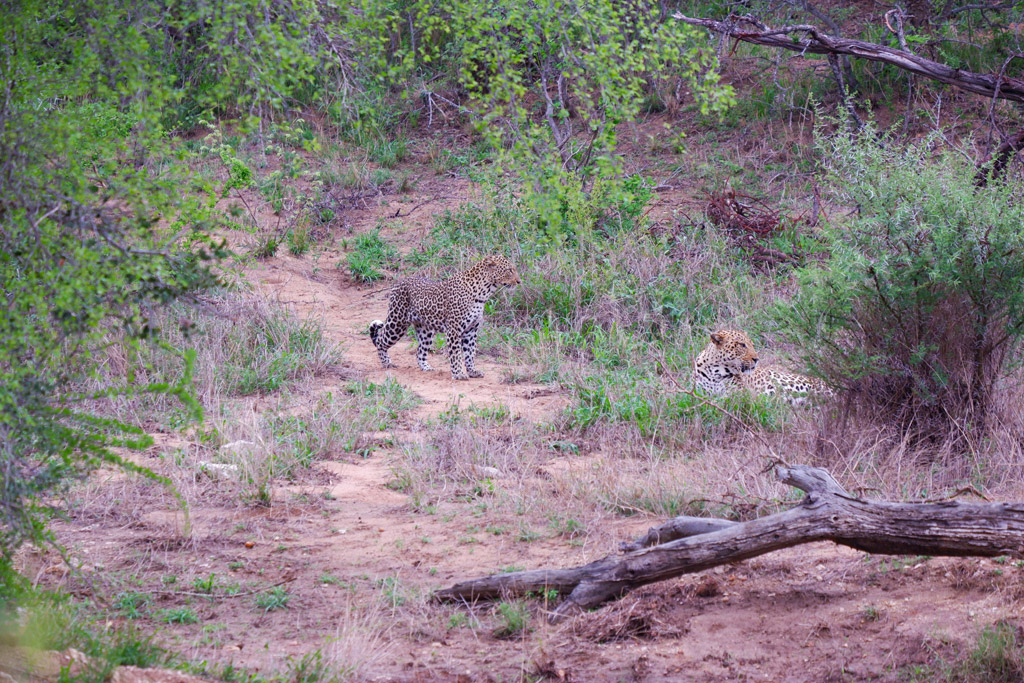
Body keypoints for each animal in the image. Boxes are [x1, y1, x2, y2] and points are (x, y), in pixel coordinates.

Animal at [366, 254, 520, 378]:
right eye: (509, 270)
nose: (519, 281)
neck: (484, 292)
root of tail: (399, 282)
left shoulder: (471, 330)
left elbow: (470, 353)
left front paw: (472, 372)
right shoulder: (454, 329)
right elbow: (456, 353)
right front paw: (458, 374)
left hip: (425, 331)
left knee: (420, 352)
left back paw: (426, 368)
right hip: (397, 323)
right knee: (380, 341)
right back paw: (387, 363)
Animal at [692, 329, 835, 405]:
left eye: (752, 344)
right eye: (742, 345)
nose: (756, 359)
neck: (715, 371)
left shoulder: (741, 394)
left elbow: (721, 399)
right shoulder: (699, 391)